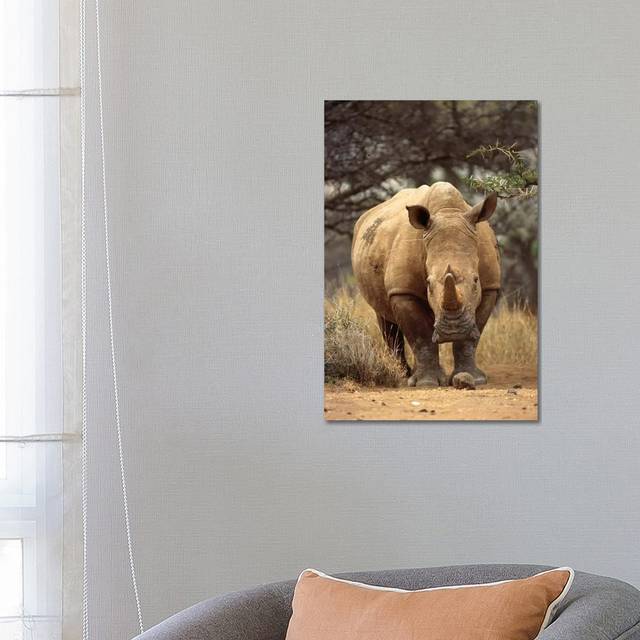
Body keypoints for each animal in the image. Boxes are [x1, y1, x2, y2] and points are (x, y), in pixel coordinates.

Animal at [351, 182, 501, 387]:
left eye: (476, 281)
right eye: (428, 284)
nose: (453, 330)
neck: (448, 212)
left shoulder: (490, 287)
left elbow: (470, 338)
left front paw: (475, 378)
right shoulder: (403, 291)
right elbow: (420, 334)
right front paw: (427, 383)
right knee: (385, 319)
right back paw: (404, 376)